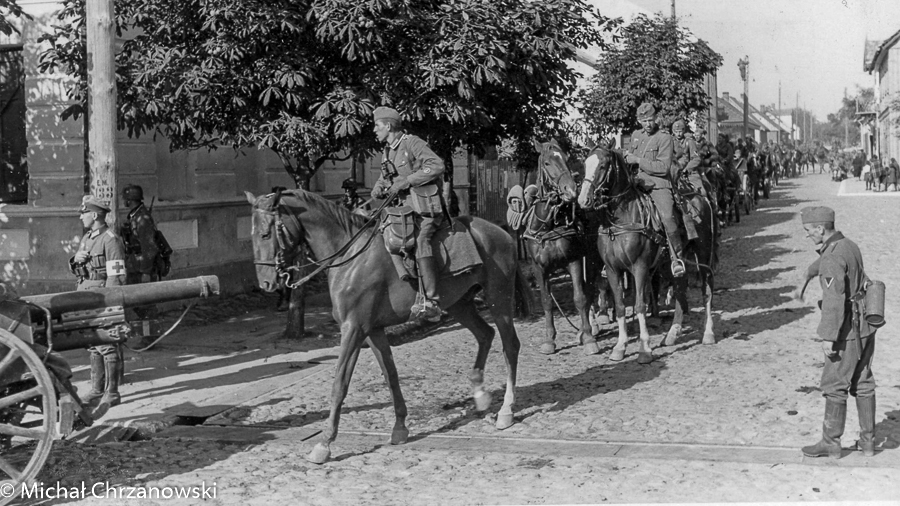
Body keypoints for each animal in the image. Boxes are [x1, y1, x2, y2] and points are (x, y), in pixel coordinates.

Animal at [245, 188, 531, 464]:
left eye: (266, 233)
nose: (266, 283)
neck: (350, 257)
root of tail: (500, 231)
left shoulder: (353, 329)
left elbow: (339, 384)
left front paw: (324, 443)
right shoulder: (373, 331)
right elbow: (390, 374)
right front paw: (400, 427)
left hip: (498, 298)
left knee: (510, 346)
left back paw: (506, 410)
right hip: (459, 304)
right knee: (485, 334)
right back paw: (480, 393)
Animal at [521, 139, 602, 355]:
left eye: (566, 158)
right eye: (547, 163)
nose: (571, 190)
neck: (549, 225)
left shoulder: (574, 261)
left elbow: (579, 298)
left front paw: (589, 338)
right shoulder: (539, 268)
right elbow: (547, 301)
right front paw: (549, 340)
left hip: (594, 260)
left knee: (591, 290)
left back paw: (588, 329)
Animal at [578, 142, 717, 364]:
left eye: (603, 166)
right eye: (585, 165)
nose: (583, 200)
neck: (622, 218)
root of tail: (700, 196)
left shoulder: (640, 267)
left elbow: (640, 305)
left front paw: (644, 349)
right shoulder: (612, 270)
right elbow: (620, 306)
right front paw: (620, 347)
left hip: (703, 253)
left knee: (707, 289)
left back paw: (708, 333)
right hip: (676, 259)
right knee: (680, 288)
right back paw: (671, 334)